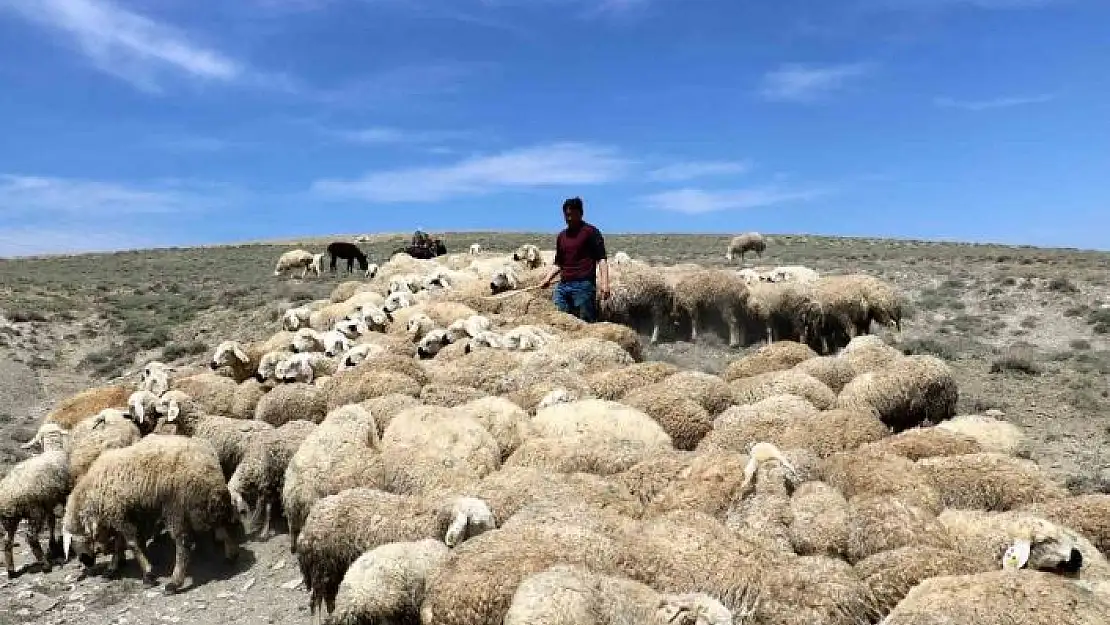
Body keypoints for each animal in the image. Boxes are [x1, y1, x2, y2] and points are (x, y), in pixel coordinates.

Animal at [0, 424, 69, 581]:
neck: (53, 450)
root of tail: (9, 493)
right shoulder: (62, 496)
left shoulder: (48, 501)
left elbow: (51, 521)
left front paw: (53, 544)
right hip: (34, 511)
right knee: (31, 537)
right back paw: (45, 564)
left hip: (9, 518)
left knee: (7, 541)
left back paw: (11, 571)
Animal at [60, 432, 238, 595]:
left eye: (75, 544)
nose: (87, 562)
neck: (90, 494)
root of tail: (207, 462)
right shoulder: (121, 515)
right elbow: (119, 544)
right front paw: (112, 569)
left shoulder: (119, 515)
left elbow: (132, 544)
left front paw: (148, 574)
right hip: (211, 501)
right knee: (221, 523)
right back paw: (231, 554)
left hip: (176, 509)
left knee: (183, 544)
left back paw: (174, 583)